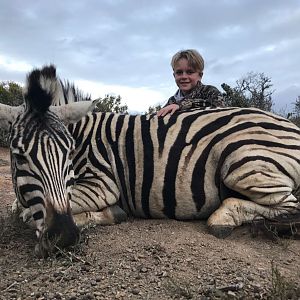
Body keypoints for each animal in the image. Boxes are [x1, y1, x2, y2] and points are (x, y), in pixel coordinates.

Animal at [0, 65, 300, 255]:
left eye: (69, 151)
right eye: (18, 155)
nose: (64, 237)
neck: (83, 138)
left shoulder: (102, 184)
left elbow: (28, 215)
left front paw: (111, 213)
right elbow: (18, 207)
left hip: (244, 162)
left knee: (289, 206)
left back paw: (224, 218)